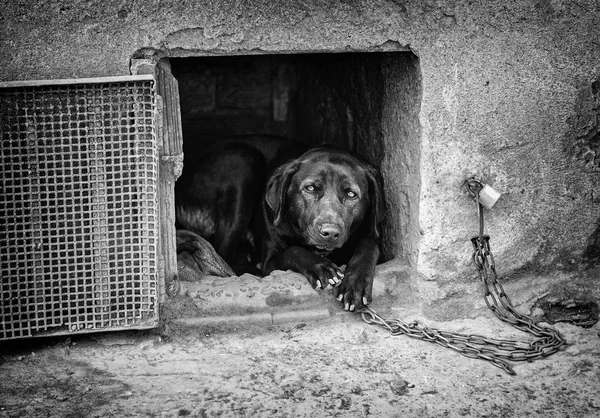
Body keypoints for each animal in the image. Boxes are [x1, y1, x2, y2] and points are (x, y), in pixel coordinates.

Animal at [262, 146, 384, 310]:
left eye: (351, 194)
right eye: (310, 188)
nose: (330, 233)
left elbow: (369, 244)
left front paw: (356, 283)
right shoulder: (267, 265)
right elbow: (293, 250)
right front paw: (321, 268)